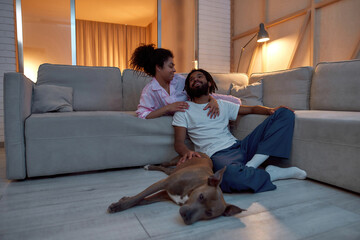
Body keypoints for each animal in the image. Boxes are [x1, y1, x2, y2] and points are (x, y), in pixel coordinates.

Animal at [107, 153, 245, 224]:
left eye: (209, 213)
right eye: (201, 196)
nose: (185, 215)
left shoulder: (164, 193)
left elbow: (143, 200)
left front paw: (124, 200)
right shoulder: (163, 183)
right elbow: (139, 196)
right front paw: (119, 206)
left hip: (172, 171)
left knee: (165, 169)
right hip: (176, 161)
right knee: (165, 164)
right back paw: (150, 166)